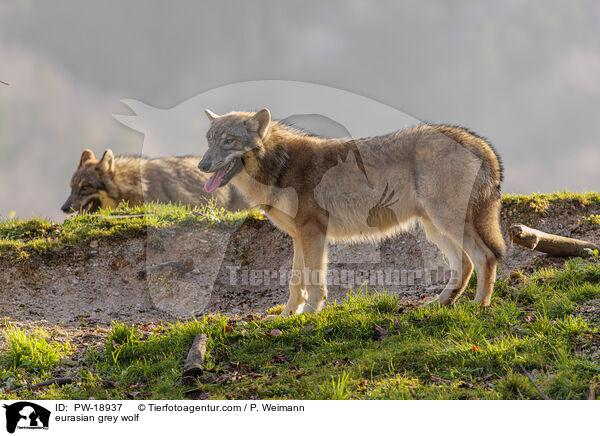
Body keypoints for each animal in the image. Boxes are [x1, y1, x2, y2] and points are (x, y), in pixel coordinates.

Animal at [200, 107, 506, 316]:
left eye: (228, 141)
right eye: (210, 139)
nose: (202, 165)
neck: (281, 165)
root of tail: (478, 142)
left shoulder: (313, 232)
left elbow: (313, 281)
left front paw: (309, 315)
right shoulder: (299, 236)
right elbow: (295, 282)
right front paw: (287, 316)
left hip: (447, 224)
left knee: (485, 257)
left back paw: (479, 306)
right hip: (435, 230)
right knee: (465, 264)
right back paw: (439, 304)